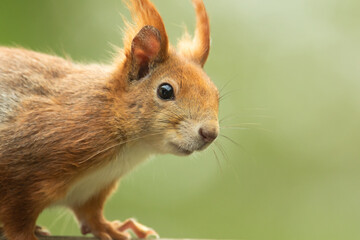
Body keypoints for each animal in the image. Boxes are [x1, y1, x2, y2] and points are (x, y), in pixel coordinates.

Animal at [0, 0, 219, 240]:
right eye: (165, 91)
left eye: (216, 93)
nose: (210, 133)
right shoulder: (21, 168)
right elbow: (17, 219)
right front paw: (26, 234)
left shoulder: (91, 189)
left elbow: (91, 215)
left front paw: (109, 228)